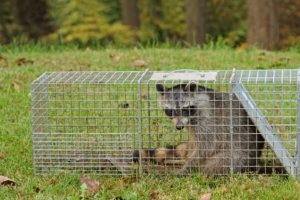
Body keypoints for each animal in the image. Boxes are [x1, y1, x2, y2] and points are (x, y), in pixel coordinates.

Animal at [132, 82, 264, 174]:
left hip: (240, 156)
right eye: (170, 110)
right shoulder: (191, 127)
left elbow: (207, 146)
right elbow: (194, 144)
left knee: (215, 164)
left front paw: (187, 168)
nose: (179, 127)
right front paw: (185, 161)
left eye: (185, 109)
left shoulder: (208, 118)